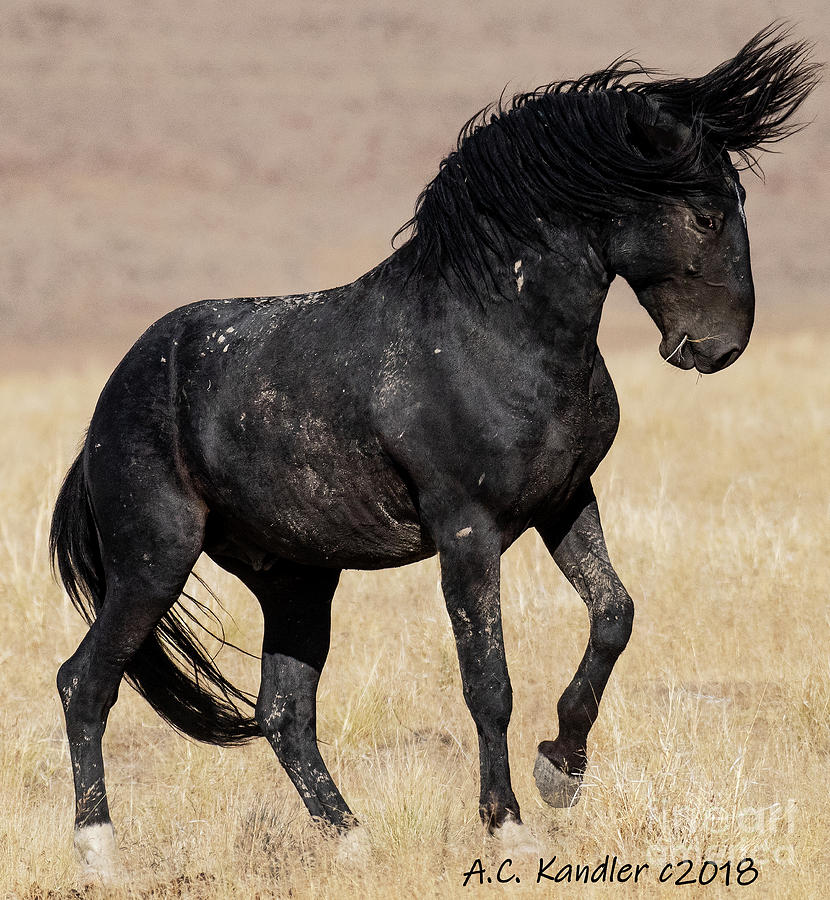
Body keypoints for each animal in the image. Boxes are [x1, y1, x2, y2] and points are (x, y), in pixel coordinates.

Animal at [50, 22, 820, 880]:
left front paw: (561, 769)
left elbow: (614, 615)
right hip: (155, 559)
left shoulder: (566, 503)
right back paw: (98, 853)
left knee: (283, 712)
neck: (491, 333)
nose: (721, 347)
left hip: (296, 580)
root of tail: (106, 407)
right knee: (86, 683)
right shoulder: (467, 530)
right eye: (708, 216)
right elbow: (488, 682)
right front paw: (508, 825)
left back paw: (354, 841)